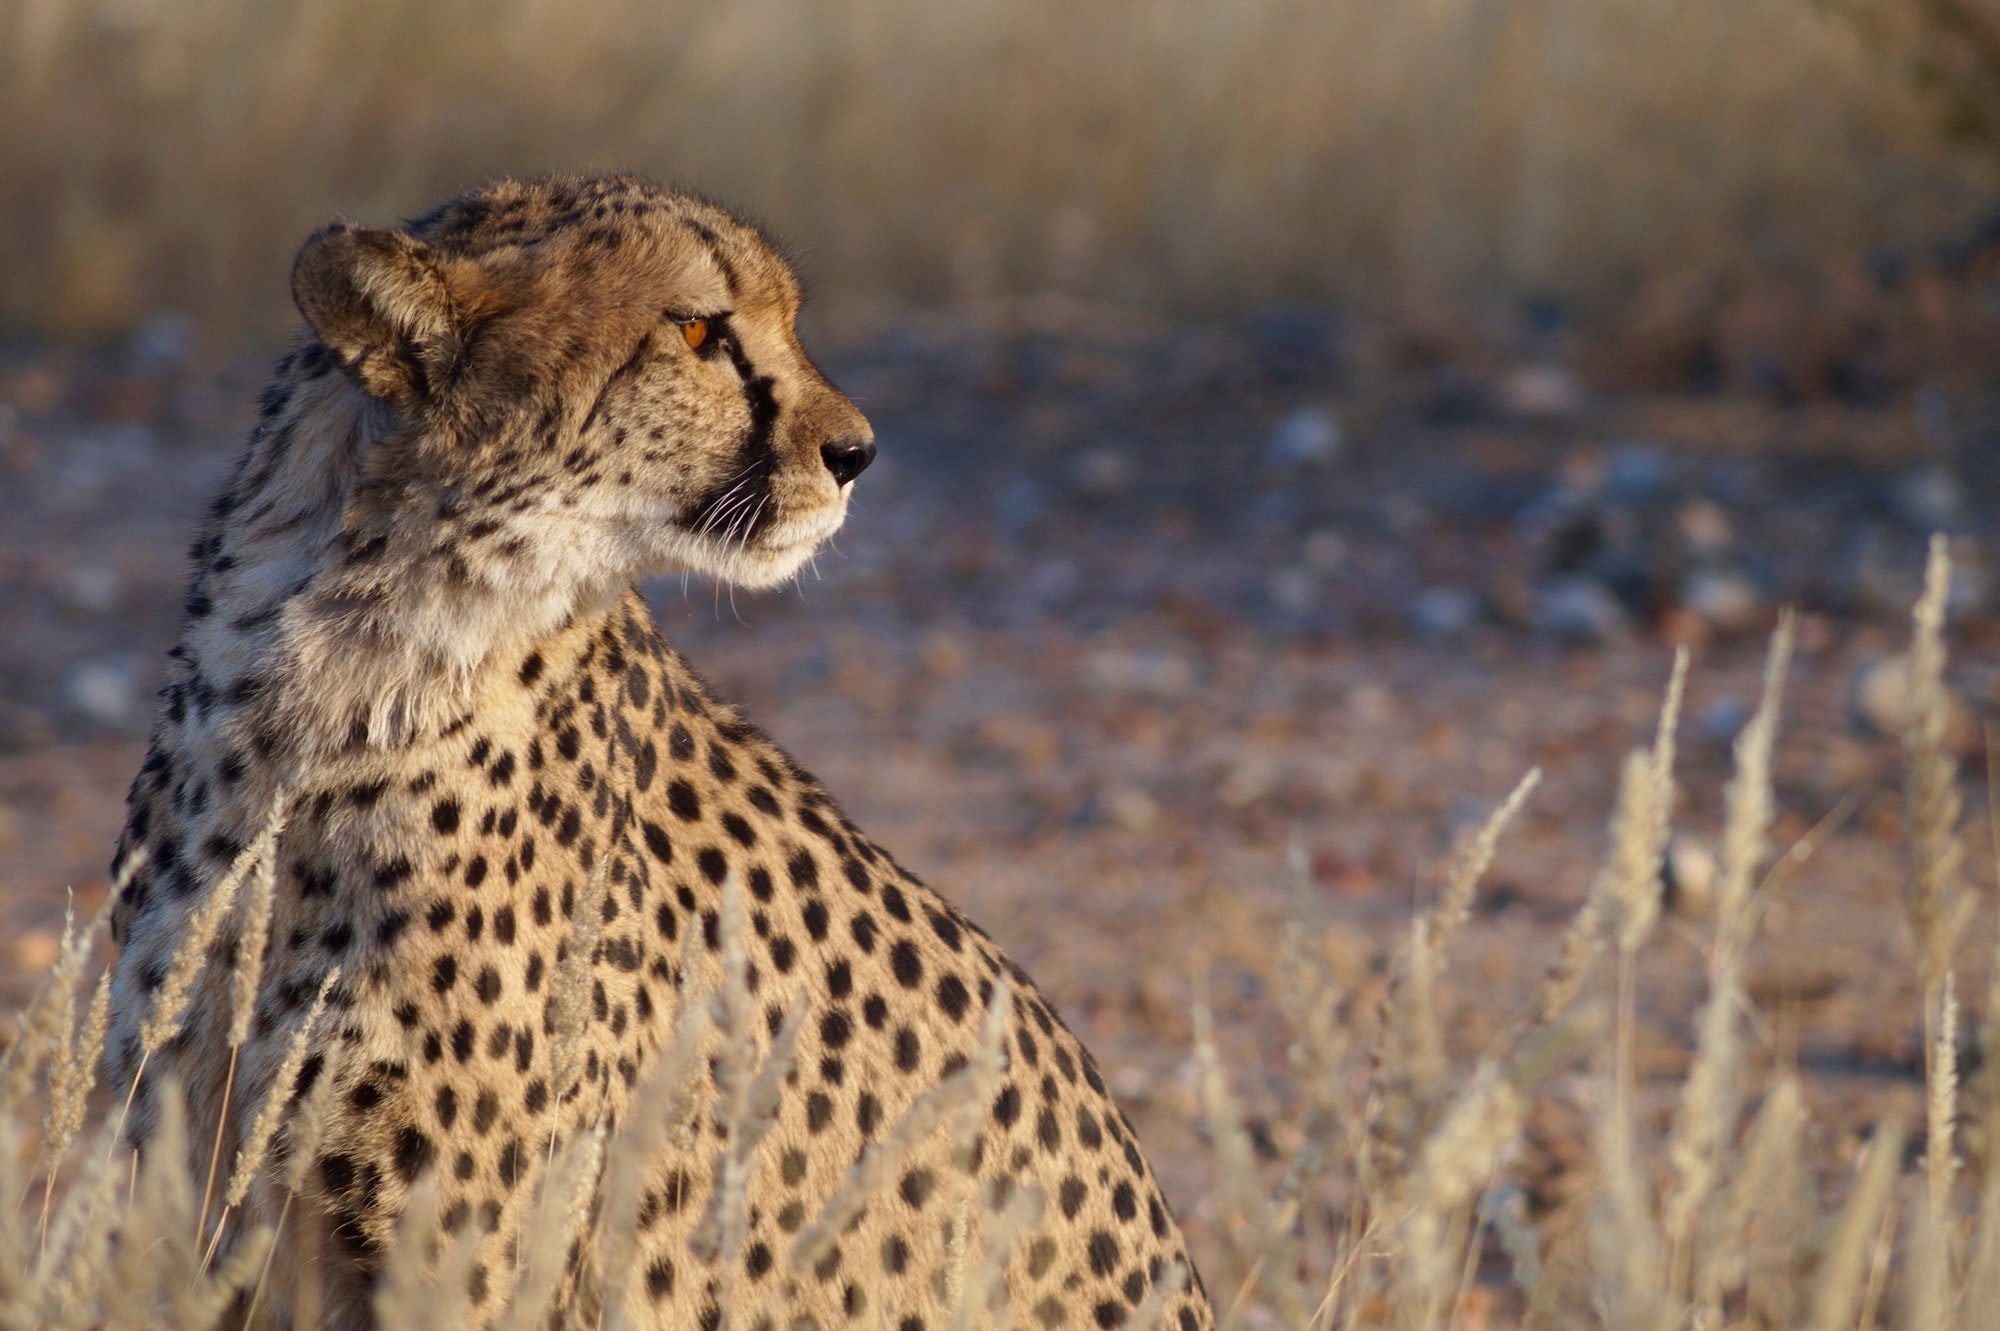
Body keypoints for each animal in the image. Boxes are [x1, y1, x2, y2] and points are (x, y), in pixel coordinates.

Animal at [105, 175, 1216, 1327]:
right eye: (696, 331)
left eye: (786, 320)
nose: (856, 453)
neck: (352, 656)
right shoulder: (201, 1187)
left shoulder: (449, 1253)